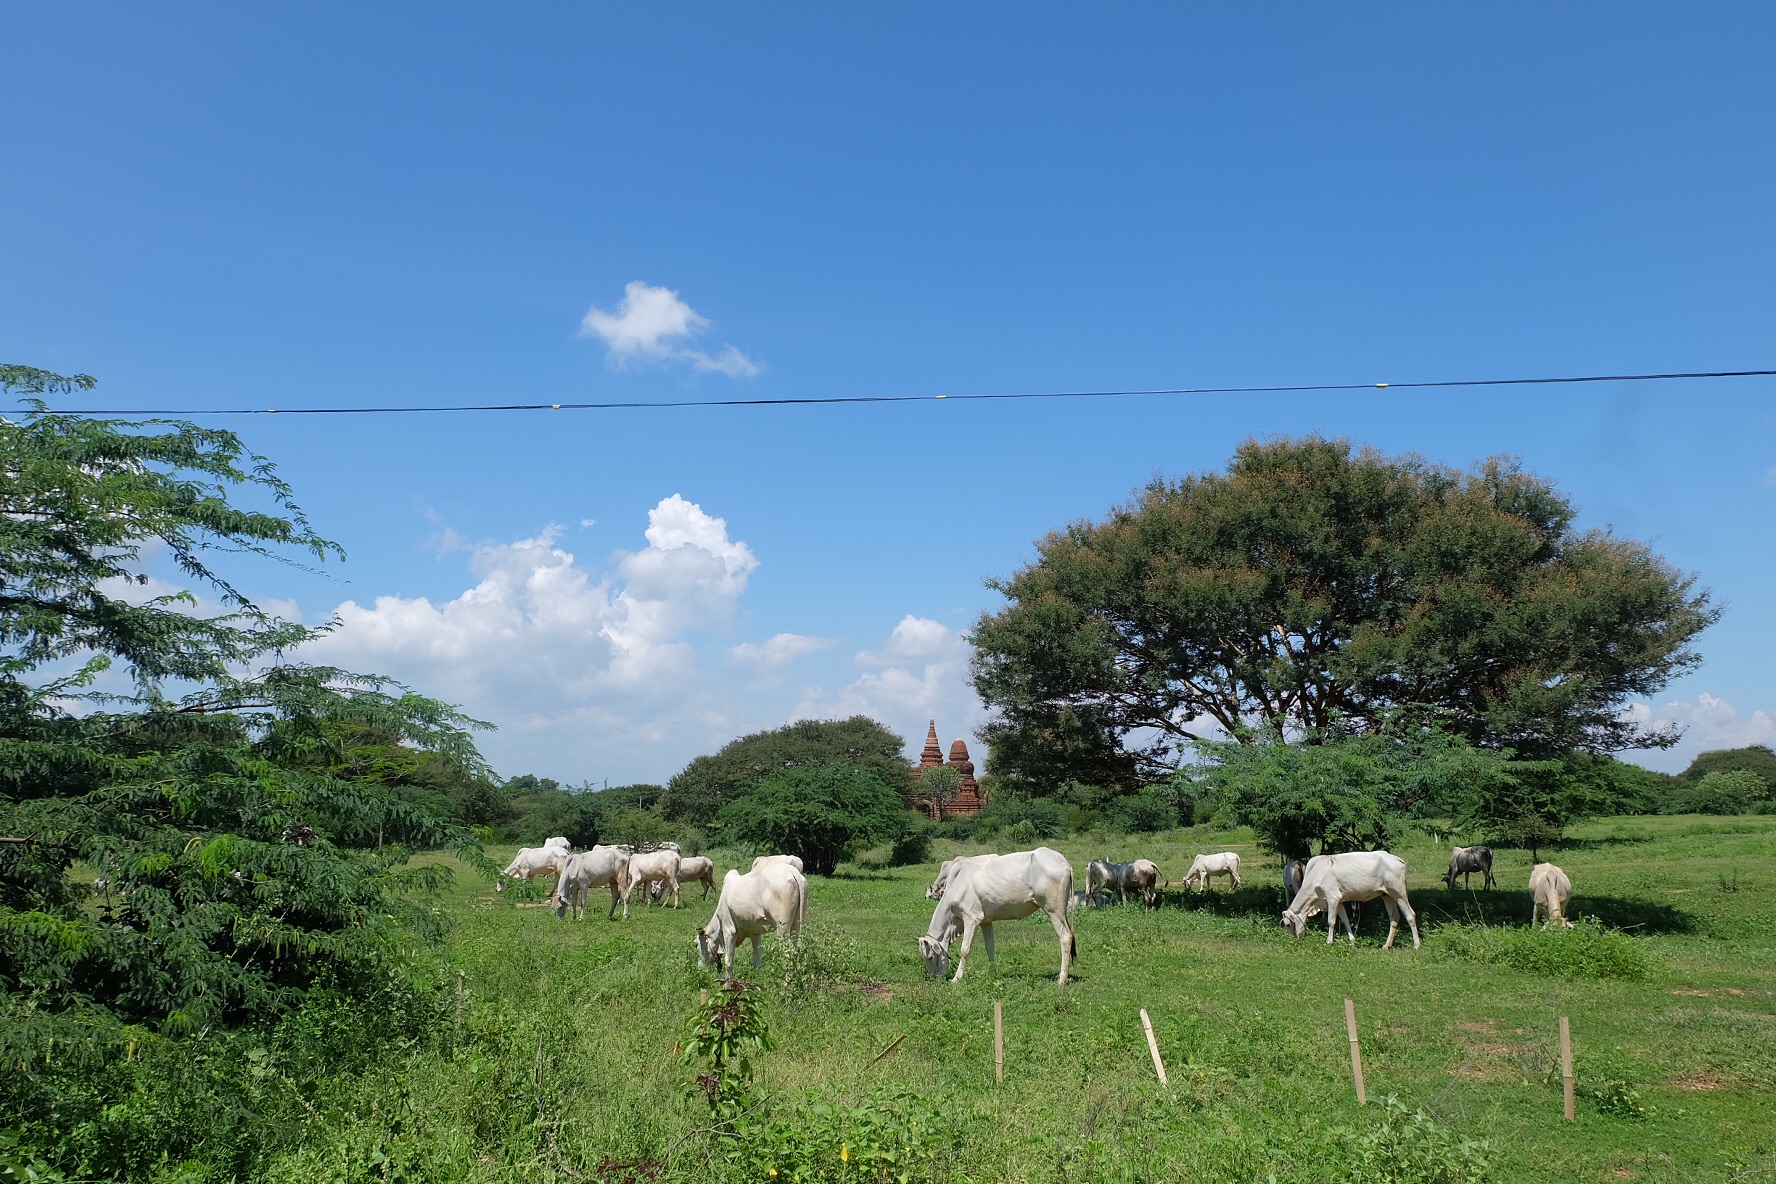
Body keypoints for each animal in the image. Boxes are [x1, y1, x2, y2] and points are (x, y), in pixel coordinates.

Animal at [923, 848, 1072, 986]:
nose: (934, 979)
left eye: (930, 957)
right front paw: (992, 973)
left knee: (1065, 937)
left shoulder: (971, 918)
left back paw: (1061, 979)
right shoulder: (985, 921)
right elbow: (990, 947)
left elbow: (964, 949)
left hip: (1054, 910)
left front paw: (956, 978)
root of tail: (1059, 857)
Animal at [1285, 852, 1420, 951]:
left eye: (1287, 924)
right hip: (1387, 895)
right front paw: (1352, 942)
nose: (1295, 939)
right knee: (1394, 918)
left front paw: (1329, 942)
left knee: (1410, 915)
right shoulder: (1339, 901)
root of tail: (1397, 859)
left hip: (1399, 893)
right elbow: (1345, 921)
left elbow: (1331, 922)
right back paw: (1387, 945)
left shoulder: (1332, 898)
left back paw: (1417, 945)